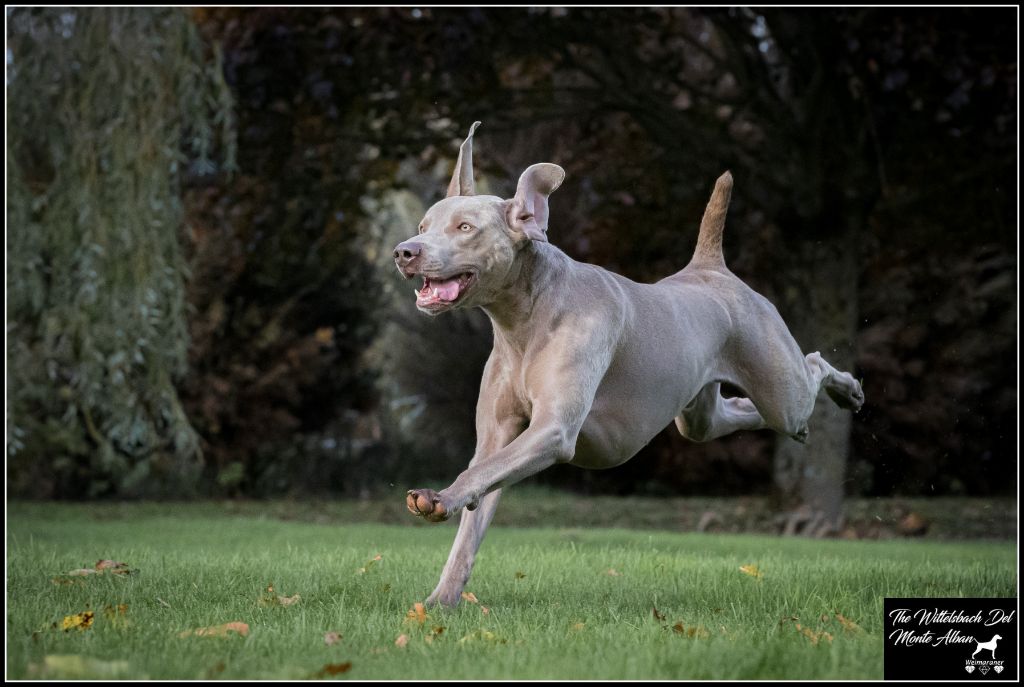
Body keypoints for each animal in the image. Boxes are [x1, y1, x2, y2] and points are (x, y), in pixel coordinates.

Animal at [391, 123, 864, 606]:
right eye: (424, 226)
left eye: (465, 227)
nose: (404, 251)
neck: (524, 315)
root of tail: (712, 270)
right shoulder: (497, 436)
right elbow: (477, 502)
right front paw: (440, 600)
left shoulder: (553, 431)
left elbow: (481, 472)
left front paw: (440, 499)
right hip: (701, 416)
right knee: (734, 414)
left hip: (782, 390)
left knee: (811, 368)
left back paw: (848, 389)